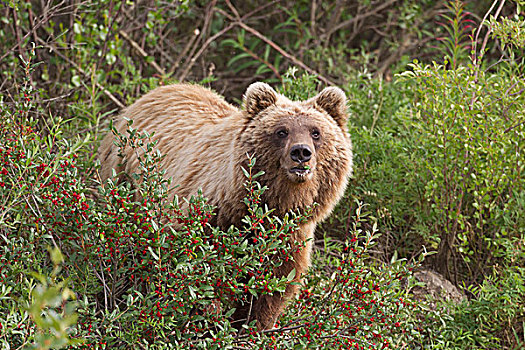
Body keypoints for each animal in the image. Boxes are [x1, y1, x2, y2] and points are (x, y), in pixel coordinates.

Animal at [97, 82, 352, 330]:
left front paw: (253, 326)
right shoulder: (206, 220)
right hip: (123, 181)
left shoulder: (288, 238)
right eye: (281, 131)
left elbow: (271, 290)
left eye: (316, 132)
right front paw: (209, 320)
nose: (301, 152)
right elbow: (197, 276)